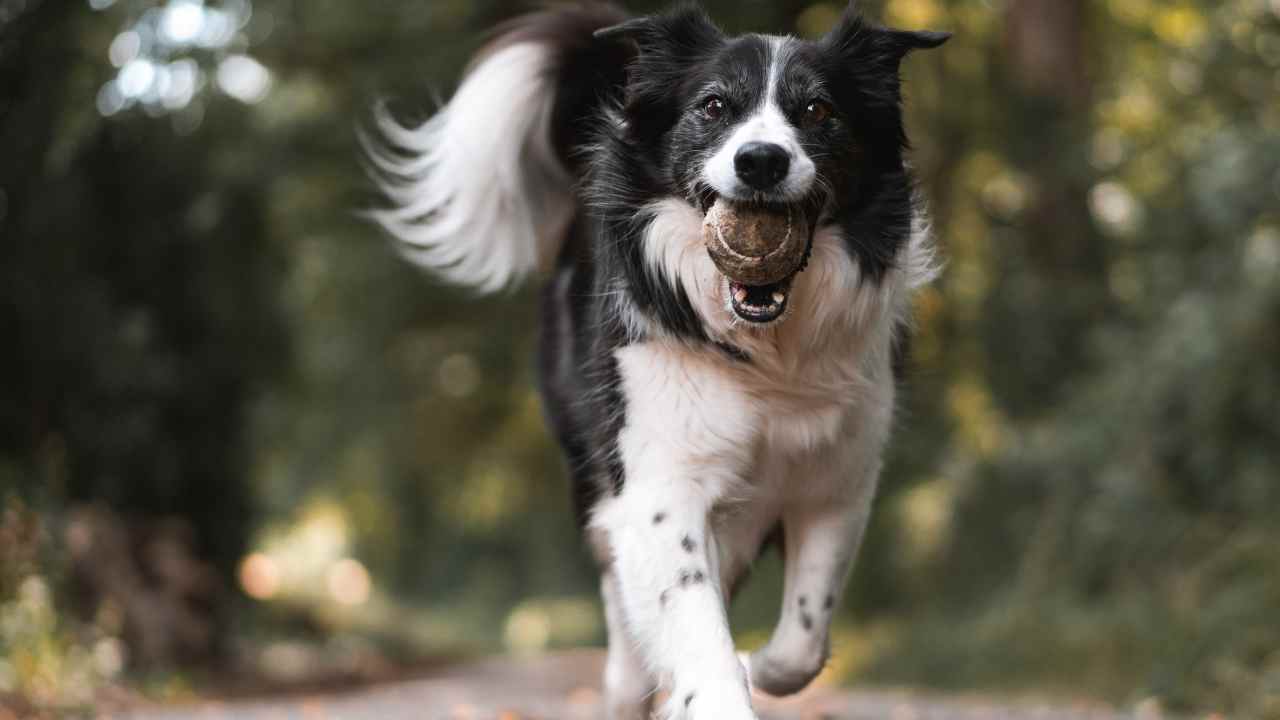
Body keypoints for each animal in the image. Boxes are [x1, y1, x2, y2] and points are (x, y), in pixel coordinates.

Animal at [366, 2, 947, 712]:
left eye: (818, 110)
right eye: (713, 105)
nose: (760, 161)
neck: (767, 349)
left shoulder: (838, 478)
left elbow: (802, 642)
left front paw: (758, 664)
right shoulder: (658, 480)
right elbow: (694, 628)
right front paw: (713, 689)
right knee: (624, 620)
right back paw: (627, 690)